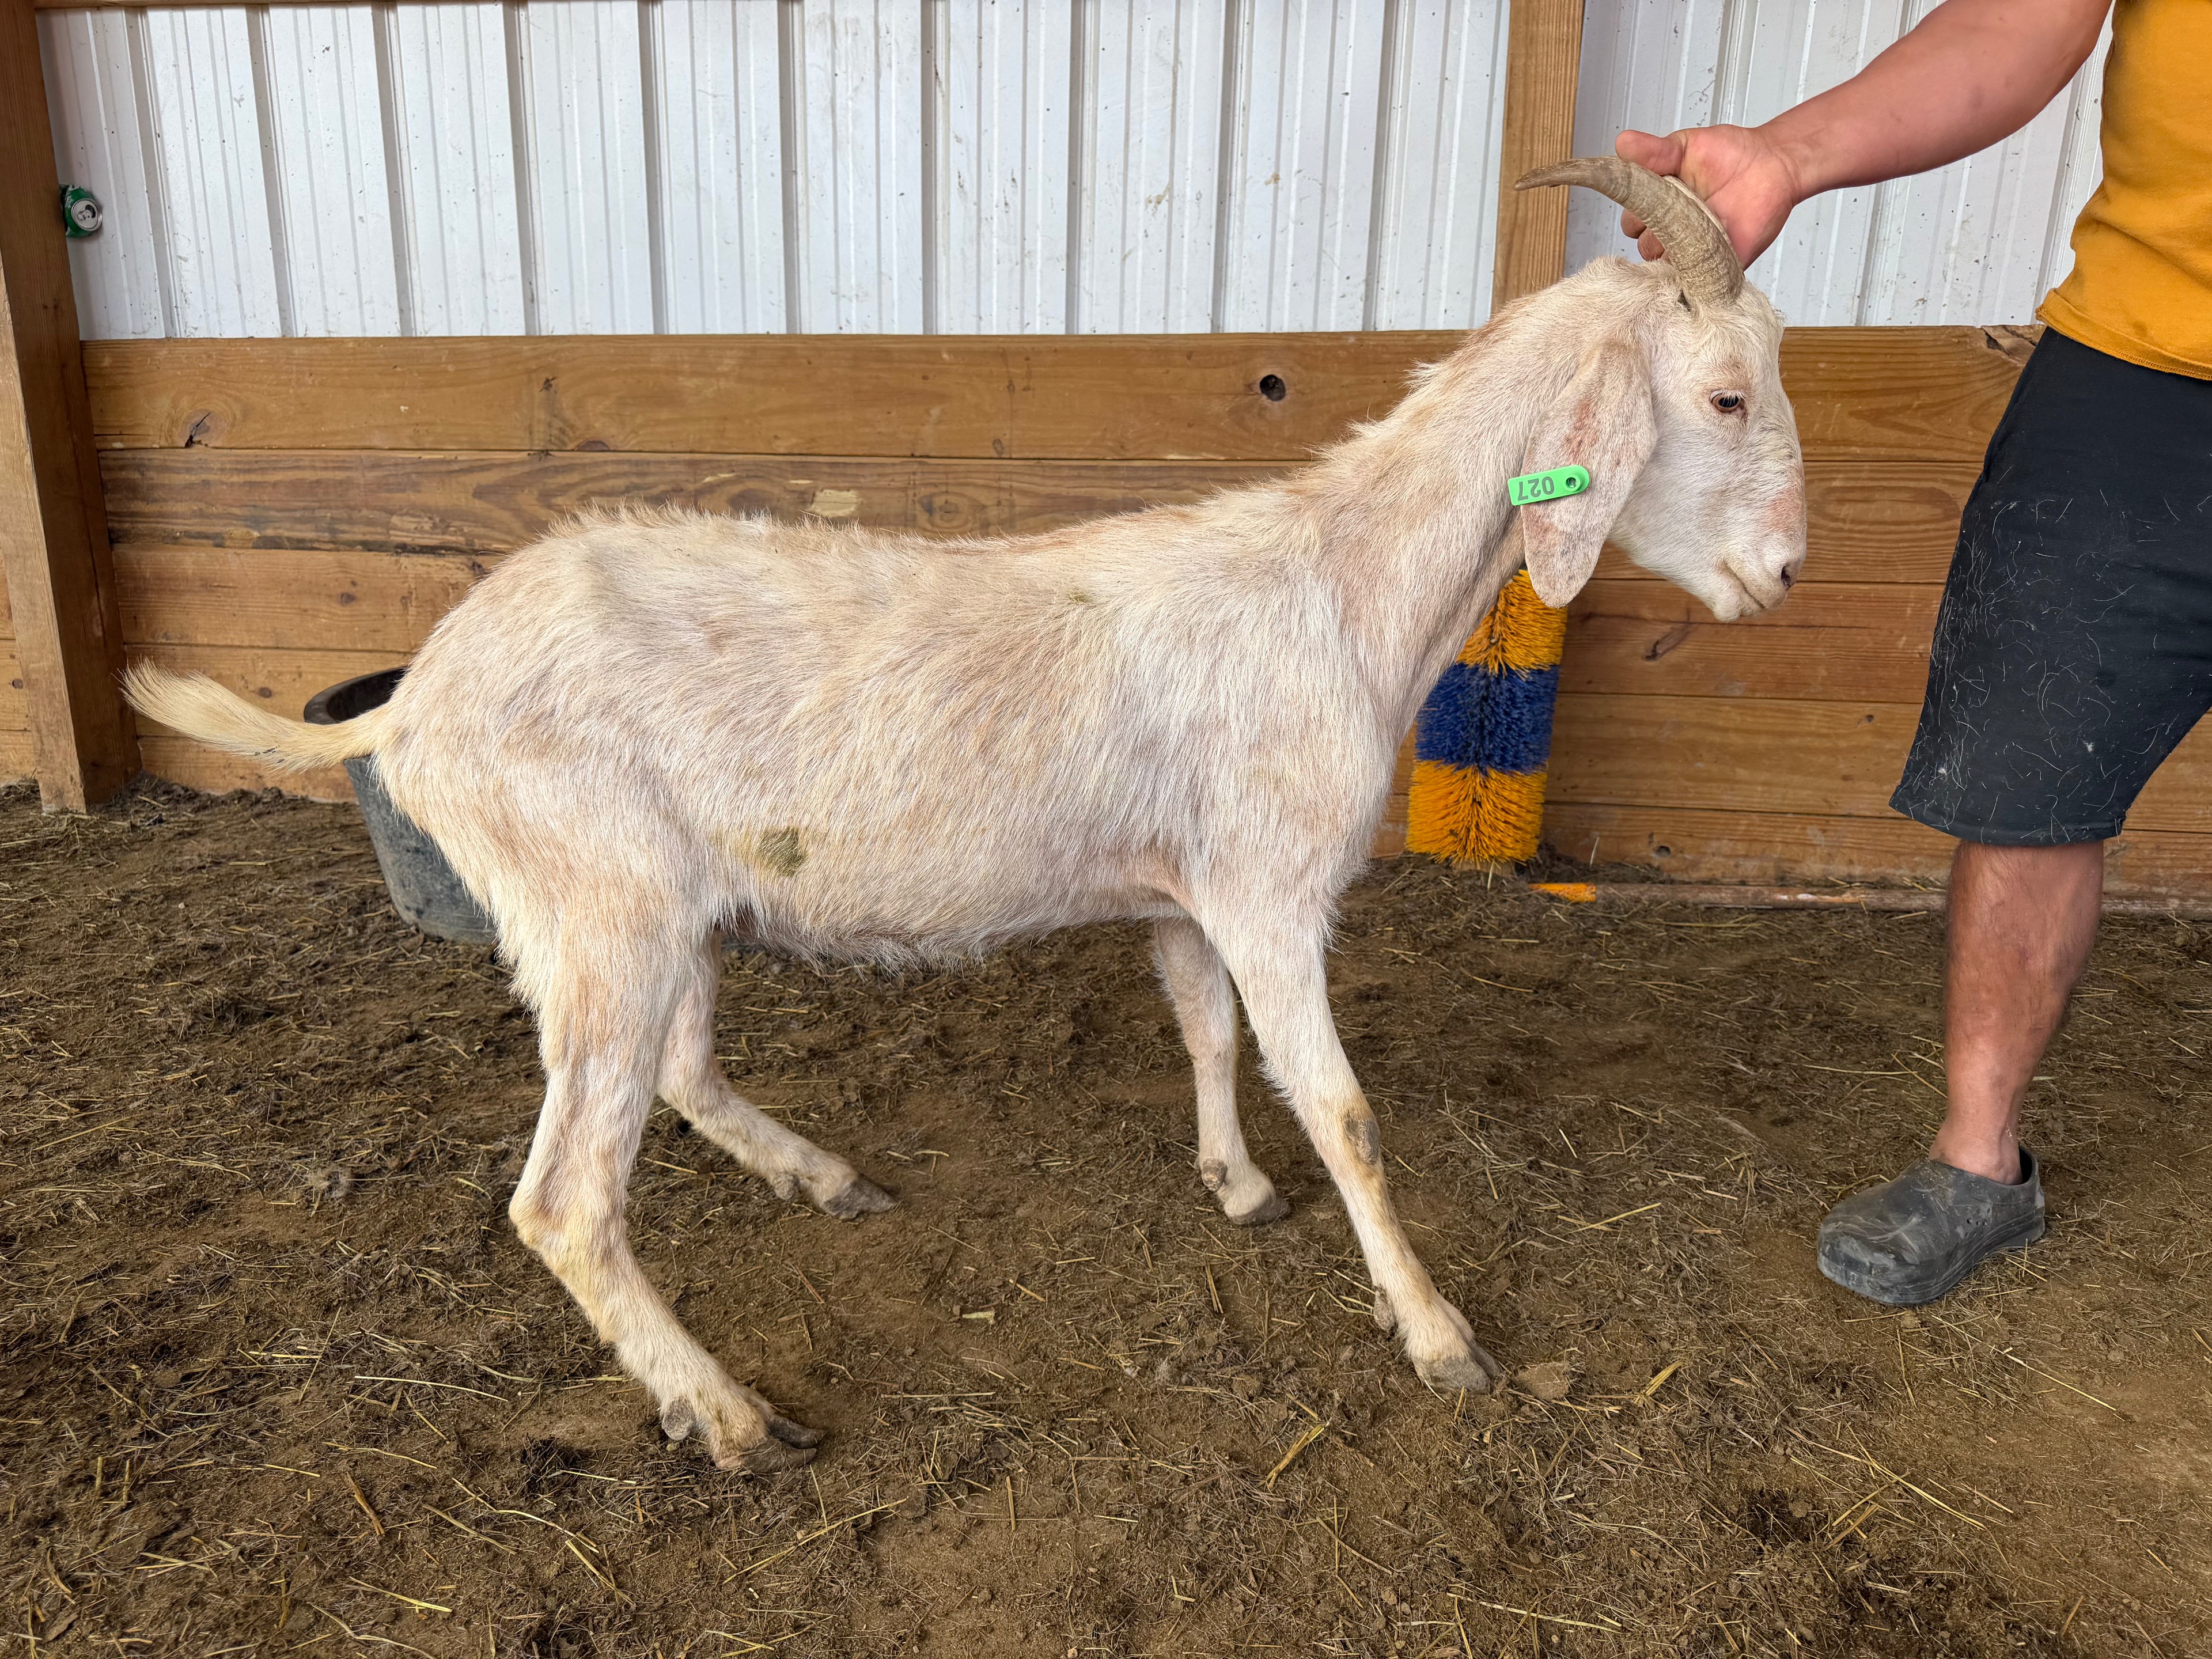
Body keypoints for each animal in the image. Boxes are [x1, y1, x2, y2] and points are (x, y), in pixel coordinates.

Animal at [129, 162, 1806, 1472]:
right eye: (1725, 396)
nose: (1784, 577)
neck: (1336, 591)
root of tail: (415, 700)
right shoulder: (1270, 887)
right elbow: (1348, 1114)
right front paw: (1438, 1332)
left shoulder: (1183, 890)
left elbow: (1205, 1035)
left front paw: (1235, 1183)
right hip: (596, 900)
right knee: (564, 1201)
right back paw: (728, 1414)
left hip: (658, 913)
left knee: (676, 1069)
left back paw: (820, 1179)